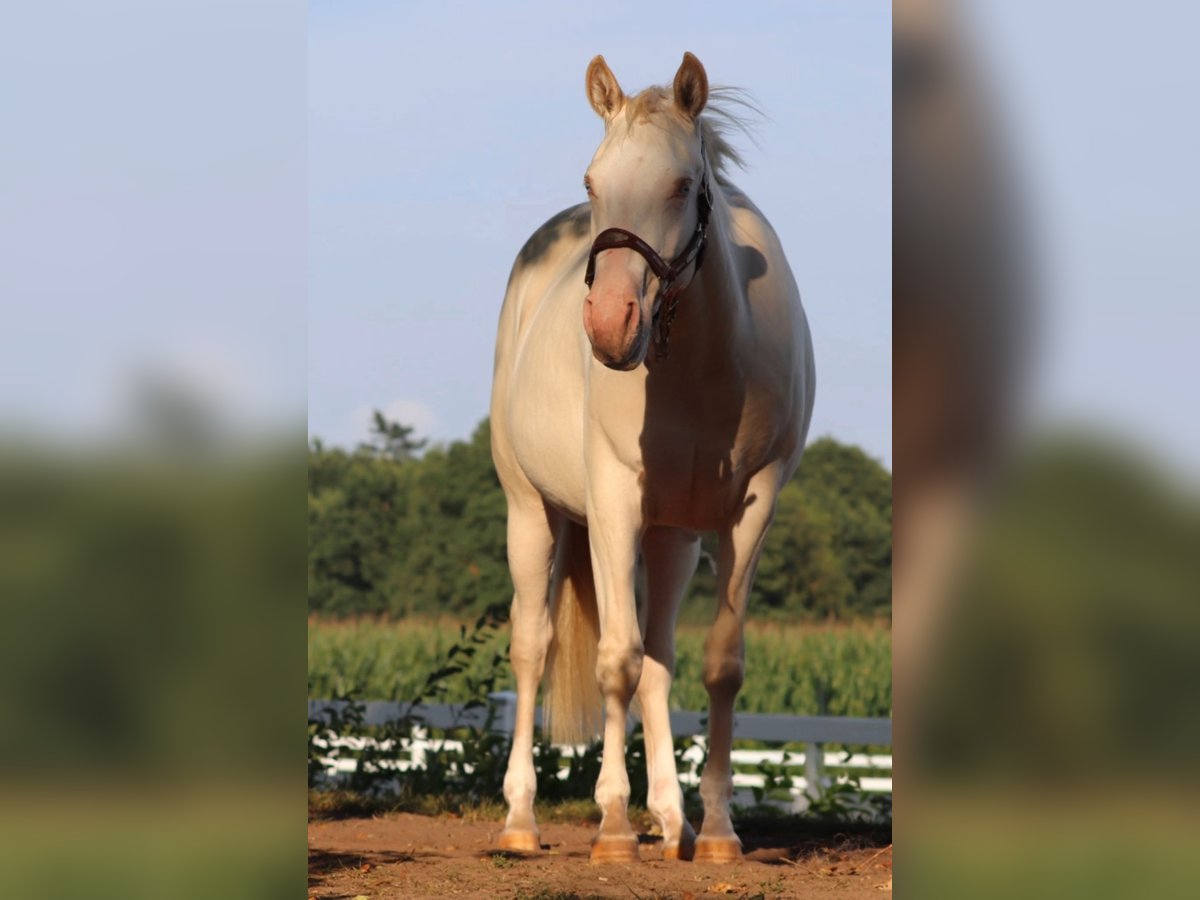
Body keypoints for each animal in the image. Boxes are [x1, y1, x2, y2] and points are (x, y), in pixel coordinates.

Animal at [489, 52, 815, 864]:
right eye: (591, 182)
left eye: (682, 185)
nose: (609, 324)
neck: (702, 367)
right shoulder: (613, 503)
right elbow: (616, 659)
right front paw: (610, 826)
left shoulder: (751, 509)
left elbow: (716, 665)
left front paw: (722, 829)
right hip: (531, 512)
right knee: (534, 647)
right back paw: (521, 820)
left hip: (673, 540)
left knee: (661, 665)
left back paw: (674, 823)